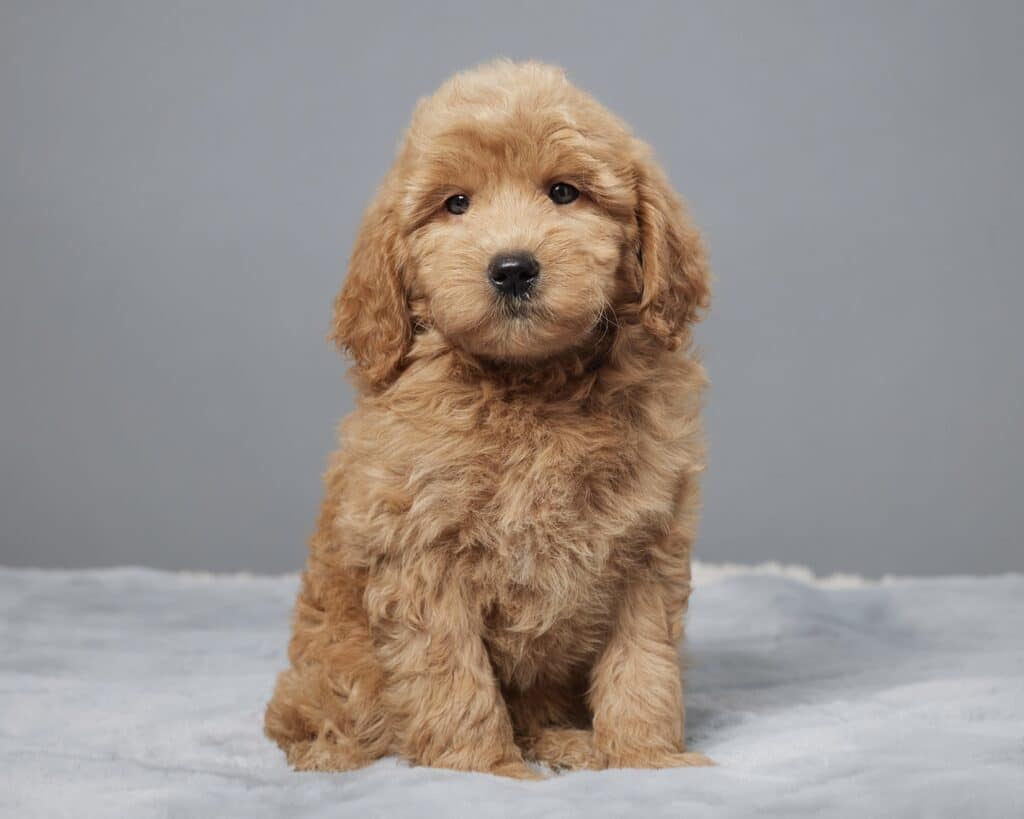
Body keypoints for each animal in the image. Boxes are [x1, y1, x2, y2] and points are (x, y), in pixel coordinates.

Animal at [264, 60, 712, 778]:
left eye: (564, 192)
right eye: (455, 204)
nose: (512, 268)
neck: (530, 386)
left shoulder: (647, 544)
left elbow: (643, 663)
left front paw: (647, 757)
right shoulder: (420, 549)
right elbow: (451, 673)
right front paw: (481, 769)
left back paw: (565, 741)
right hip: (339, 664)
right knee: (312, 715)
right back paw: (330, 754)